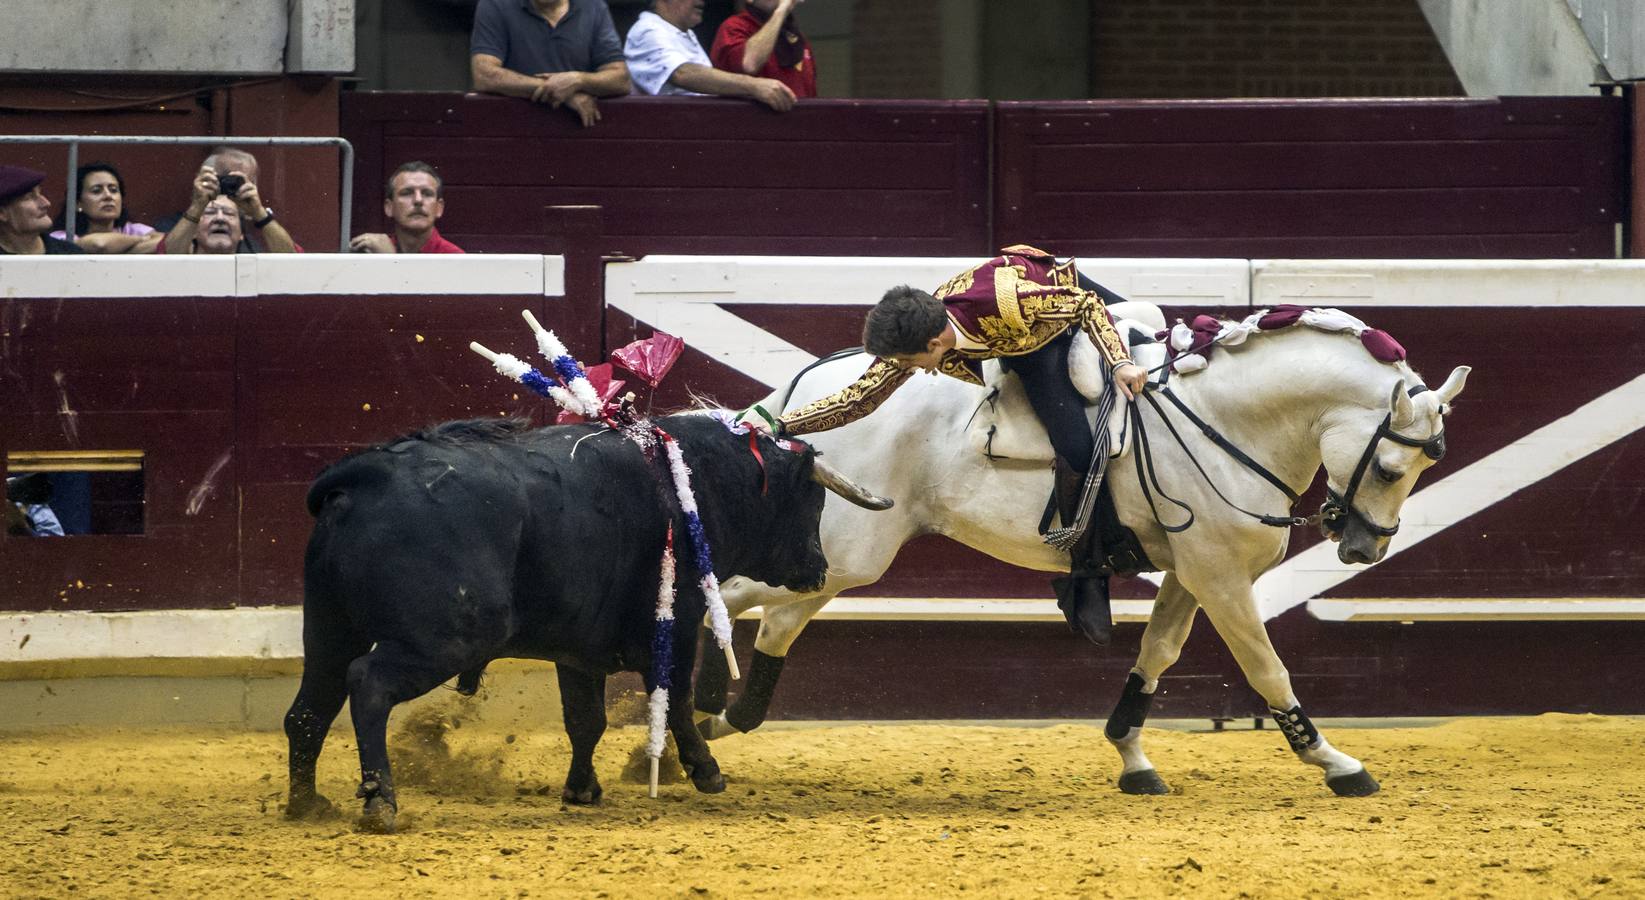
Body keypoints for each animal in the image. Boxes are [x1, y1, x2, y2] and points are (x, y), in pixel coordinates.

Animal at [287, 414, 894, 832]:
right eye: (812, 500)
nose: (819, 568)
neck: (696, 482)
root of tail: (366, 474)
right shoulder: (675, 626)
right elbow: (674, 702)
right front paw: (706, 771)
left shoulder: (577, 648)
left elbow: (586, 720)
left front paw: (581, 790)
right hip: (443, 639)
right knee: (367, 685)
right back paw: (380, 802)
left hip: (328, 630)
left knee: (309, 709)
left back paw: (306, 802)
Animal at [700, 307, 1473, 796]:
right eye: (1389, 469)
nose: (1364, 548)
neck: (1223, 419)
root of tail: (804, 395)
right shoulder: (1222, 578)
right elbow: (1266, 668)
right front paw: (1336, 763)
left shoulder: (1192, 572)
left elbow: (1156, 654)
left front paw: (1131, 757)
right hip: (839, 551)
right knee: (726, 596)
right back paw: (695, 730)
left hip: (837, 557)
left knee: (773, 620)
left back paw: (714, 725)